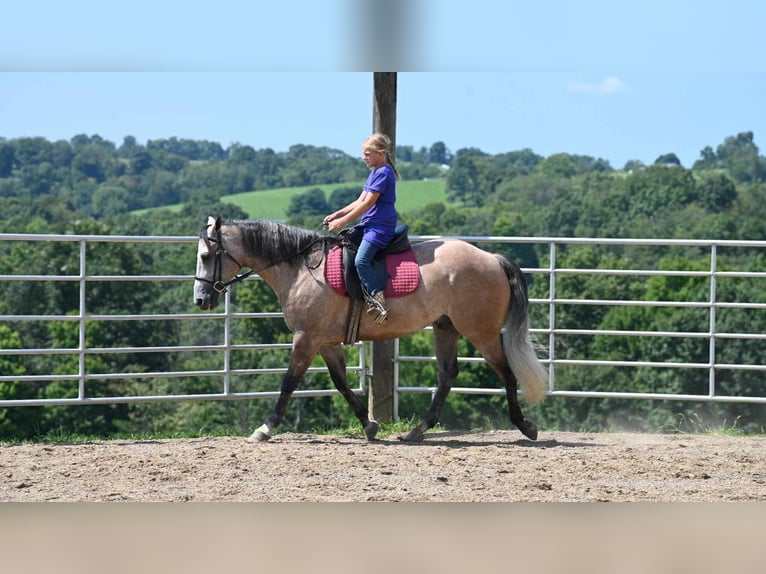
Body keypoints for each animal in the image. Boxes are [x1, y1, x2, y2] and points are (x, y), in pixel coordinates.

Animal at [195, 217, 548, 446]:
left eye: (206, 255)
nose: (201, 299)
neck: (301, 269)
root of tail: (492, 258)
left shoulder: (306, 338)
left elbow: (288, 383)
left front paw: (265, 429)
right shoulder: (325, 342)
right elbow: (341, 383)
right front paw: (368, 425)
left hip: (481, 332)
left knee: (506, 372)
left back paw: (525, 426)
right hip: (446, 328)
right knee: (448, 375)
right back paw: (417, 431)